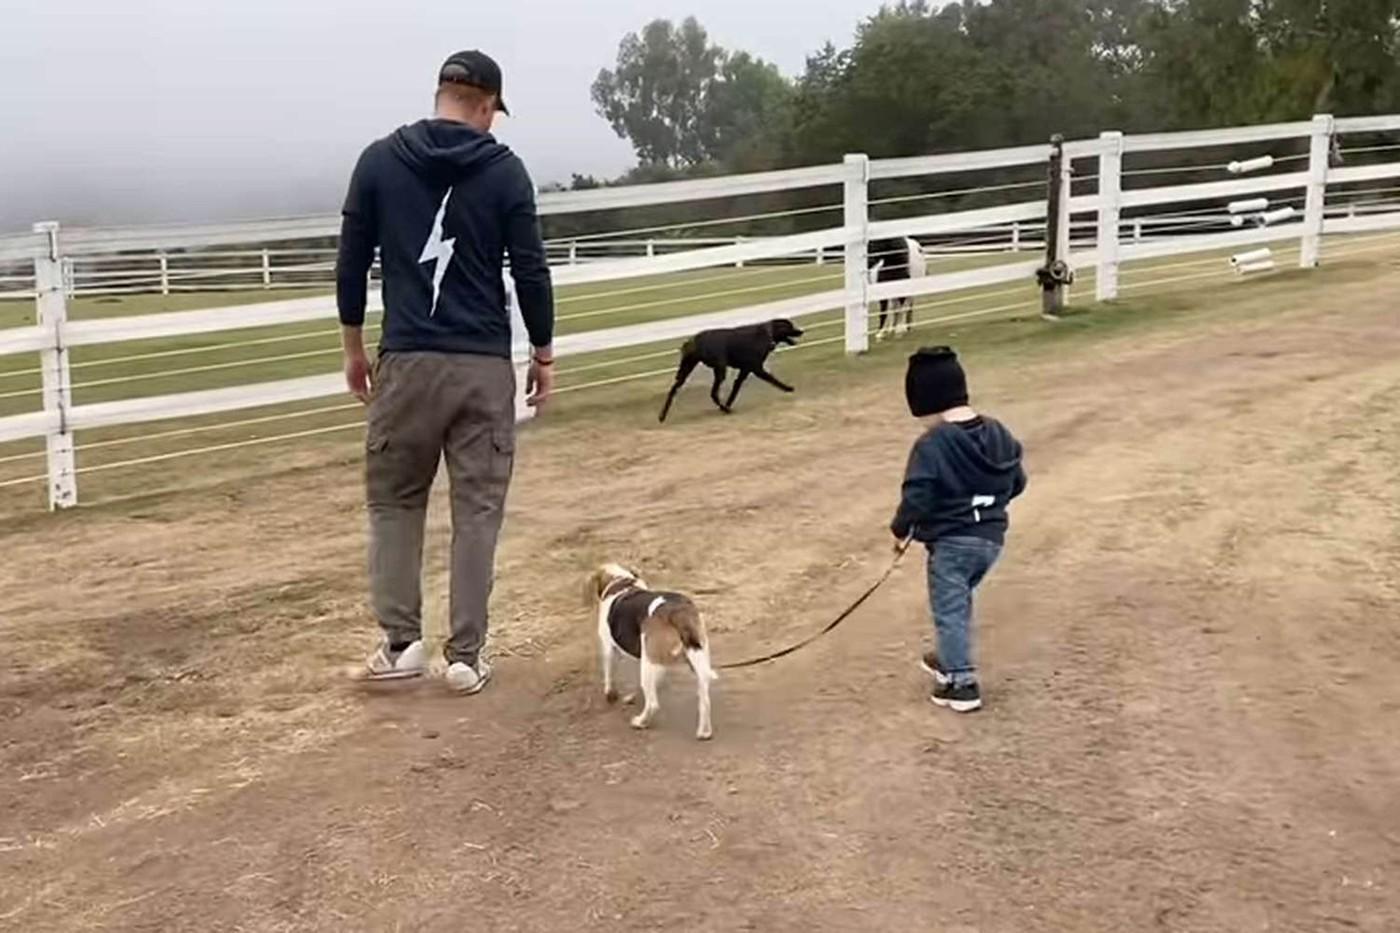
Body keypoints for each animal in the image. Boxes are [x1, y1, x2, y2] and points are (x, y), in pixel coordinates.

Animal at [586, 563, 717, 740]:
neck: (621, 582)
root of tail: (676, 611)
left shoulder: (609, 649)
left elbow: (610, 676)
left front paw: (611, 695)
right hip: (696, 661)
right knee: (705, 701)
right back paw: (704, 732)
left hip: (649, 663)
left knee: (653, 704)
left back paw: (640, 722)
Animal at [657, 318, 804, 423]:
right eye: (789, 326)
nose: (801, 331)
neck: (767, 334)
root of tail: (693, 340)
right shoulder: (757, 369)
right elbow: (773, 379)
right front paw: (788, 388)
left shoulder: (745, 370)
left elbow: (735, 389)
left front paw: (728, 404)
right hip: (720, 369)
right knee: (713, 393)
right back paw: (723, 408)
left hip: (686, 370)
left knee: (673, 390)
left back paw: (662, 416)